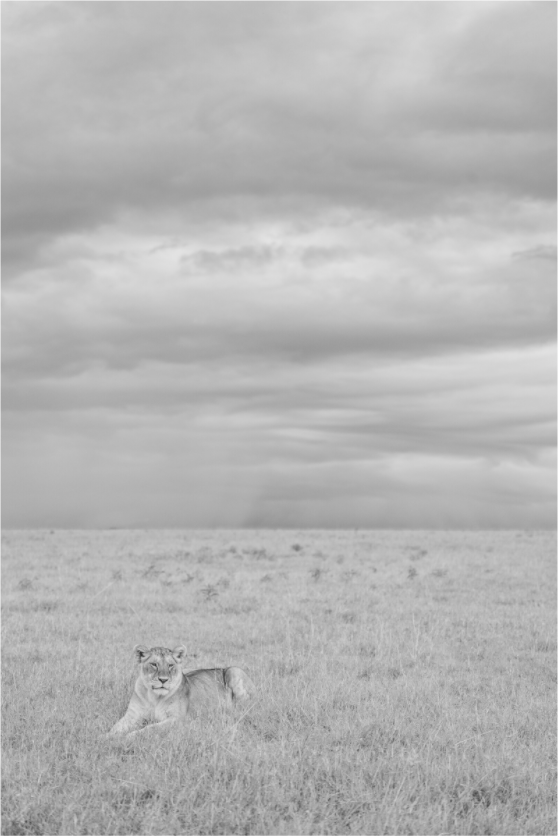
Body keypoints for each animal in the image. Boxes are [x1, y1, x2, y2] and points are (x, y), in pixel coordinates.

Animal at [108, 644, 253, 738]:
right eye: (154, 664)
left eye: (170, 665)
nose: (163, 680)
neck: (154, 697)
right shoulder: (132, 716)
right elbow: (115, 727)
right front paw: (107, 737)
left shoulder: (177, 719)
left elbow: (150, 728)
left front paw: (130, 735)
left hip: (234, 671)